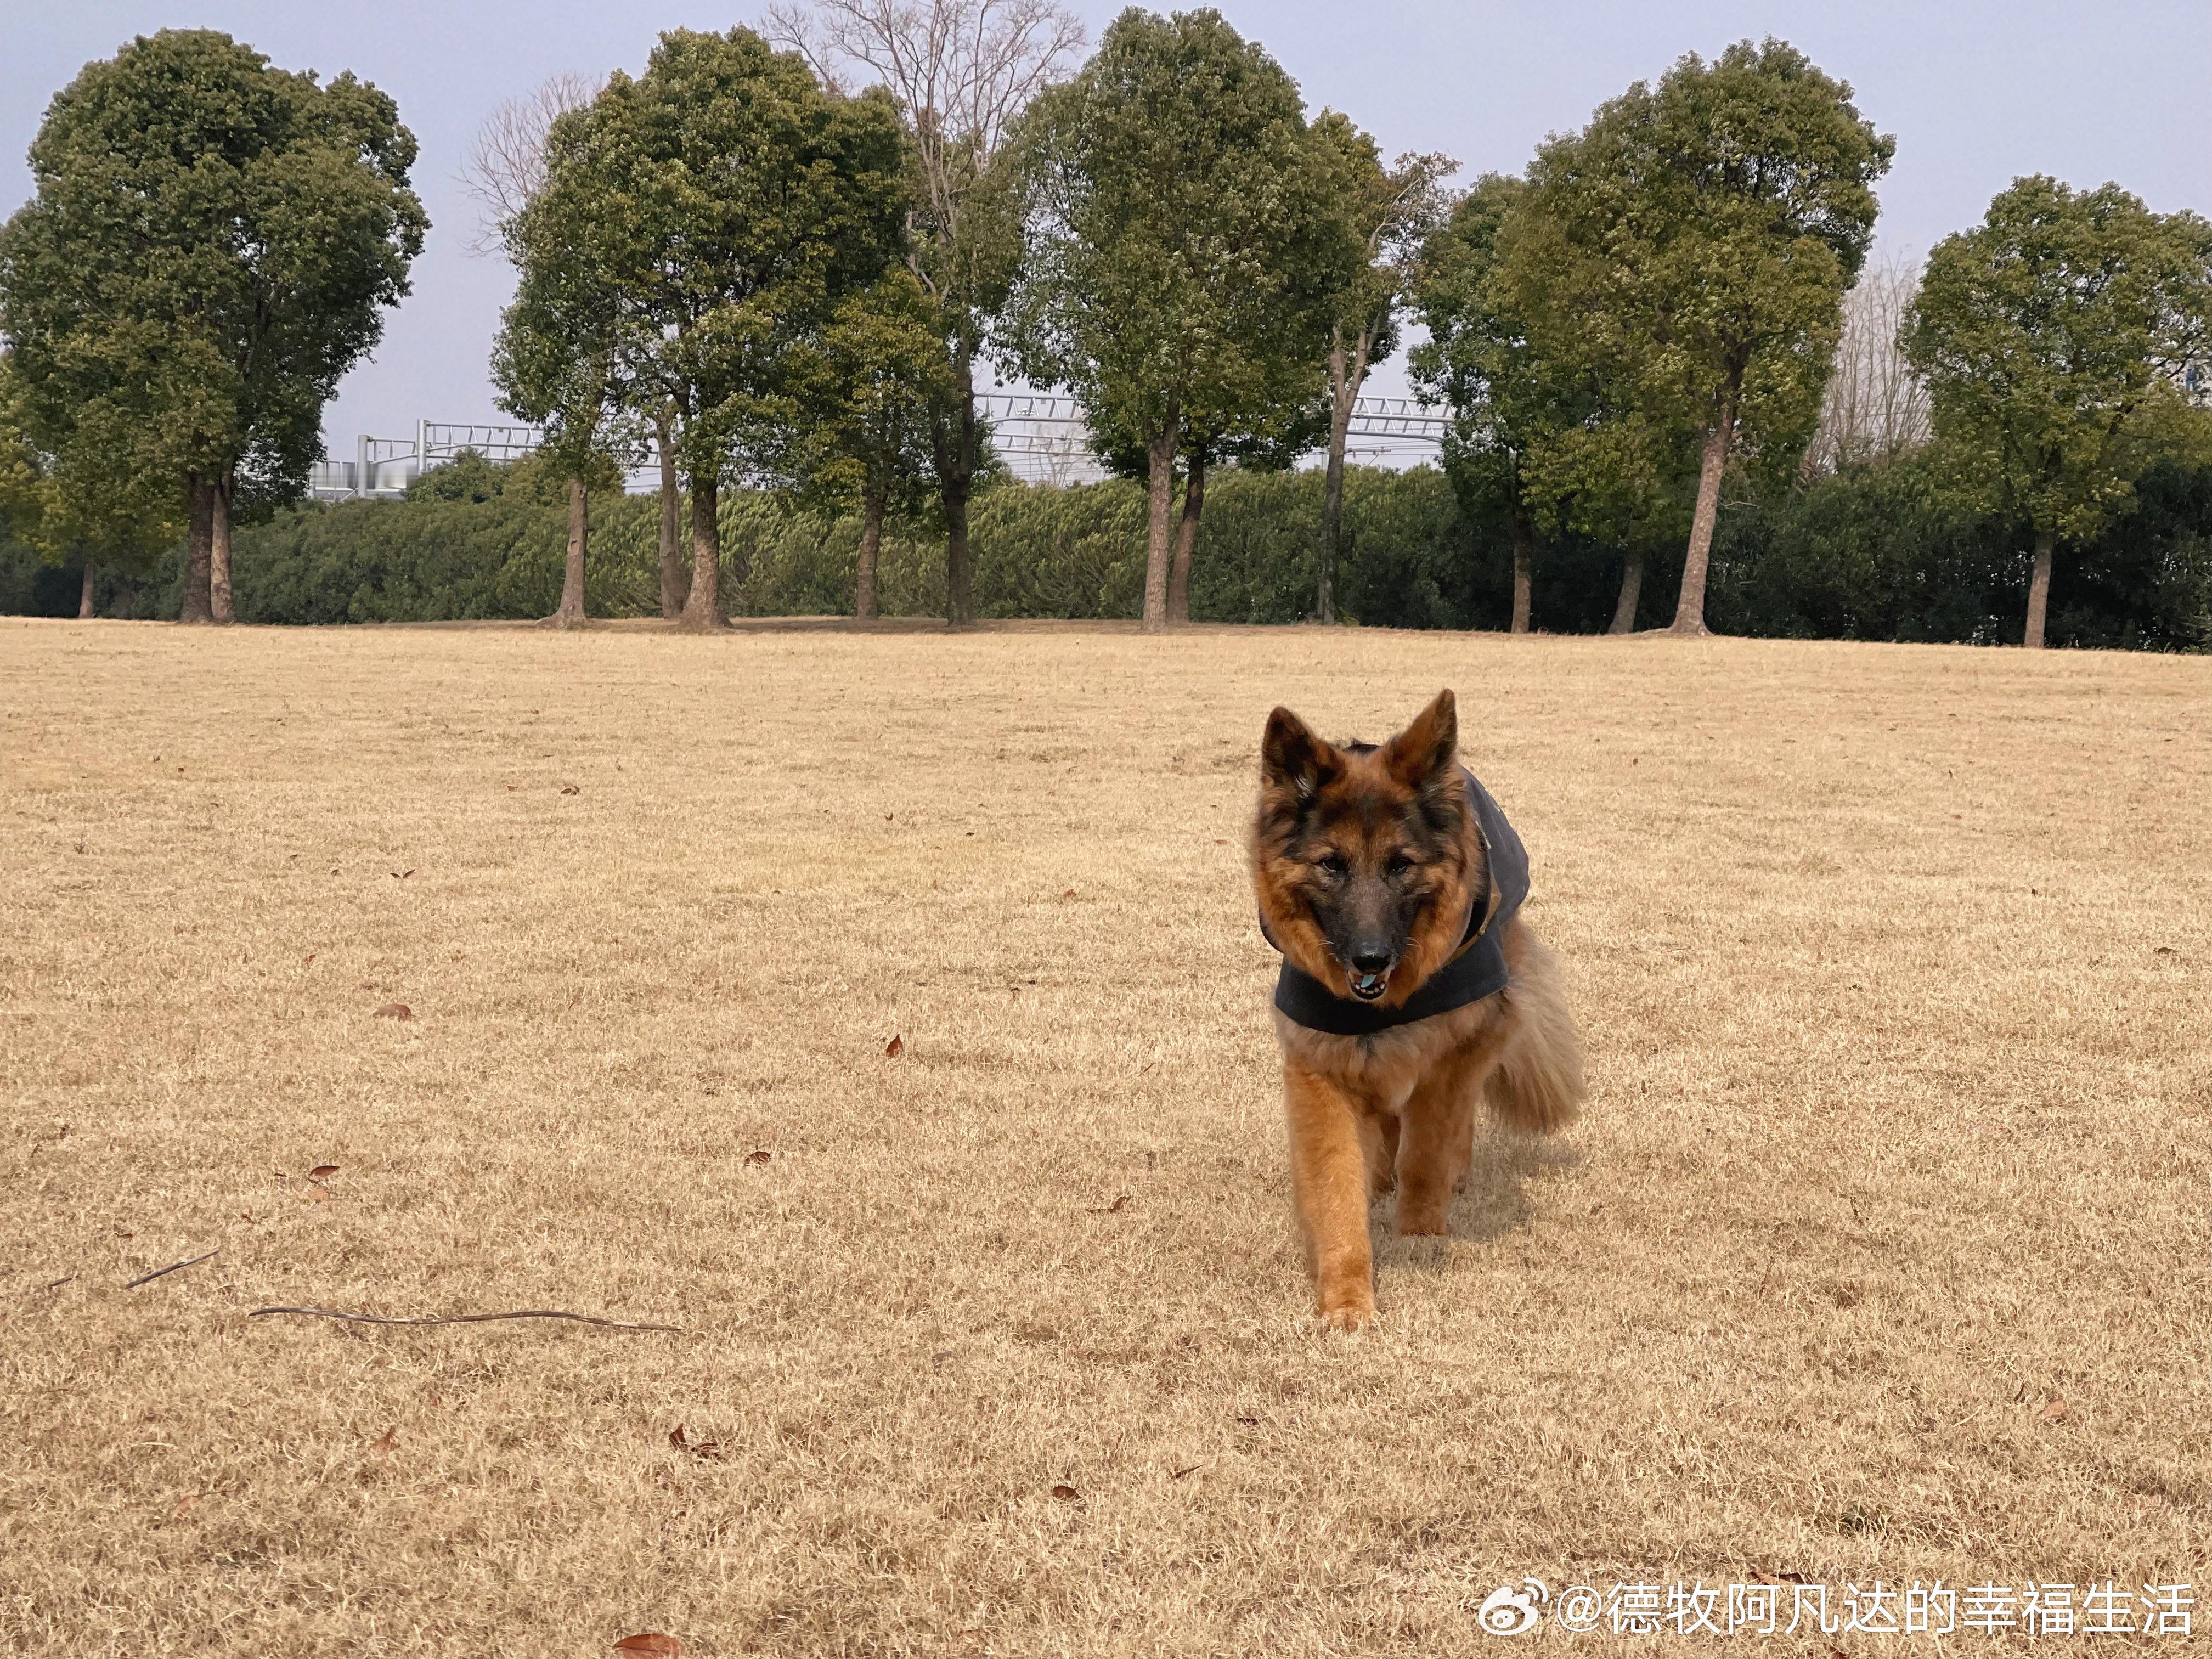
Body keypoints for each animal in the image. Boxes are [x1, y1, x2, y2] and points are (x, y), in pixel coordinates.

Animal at [1256, 695, 1583, 1336]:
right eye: (1331, 865)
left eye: (1399, 865)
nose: (1370, 958)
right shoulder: (1319, 1070)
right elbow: (1336, 1188)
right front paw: (1347, 1299)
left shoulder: (1461, 1049)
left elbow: (1430, 1146)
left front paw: (1420, 1232)